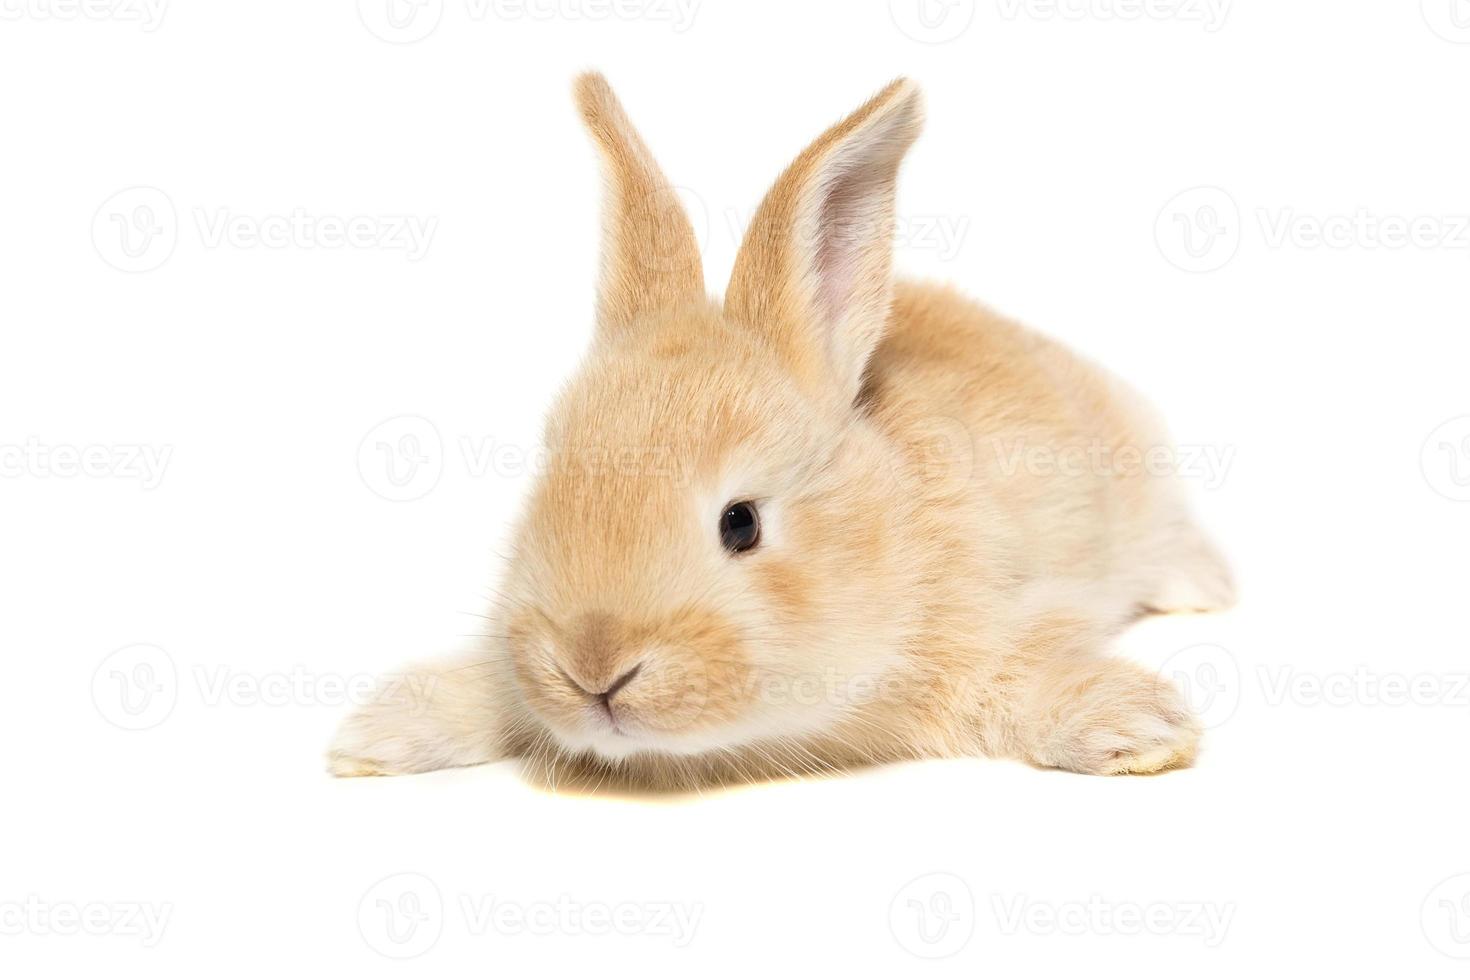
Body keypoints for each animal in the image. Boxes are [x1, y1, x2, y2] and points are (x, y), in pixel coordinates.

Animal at [327, 70, 1234, 787]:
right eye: (548, 489)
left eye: (742, 524)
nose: (593, 667)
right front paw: (376, 734)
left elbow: (1022, 681)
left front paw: (1138, 727)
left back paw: (1206, 589)